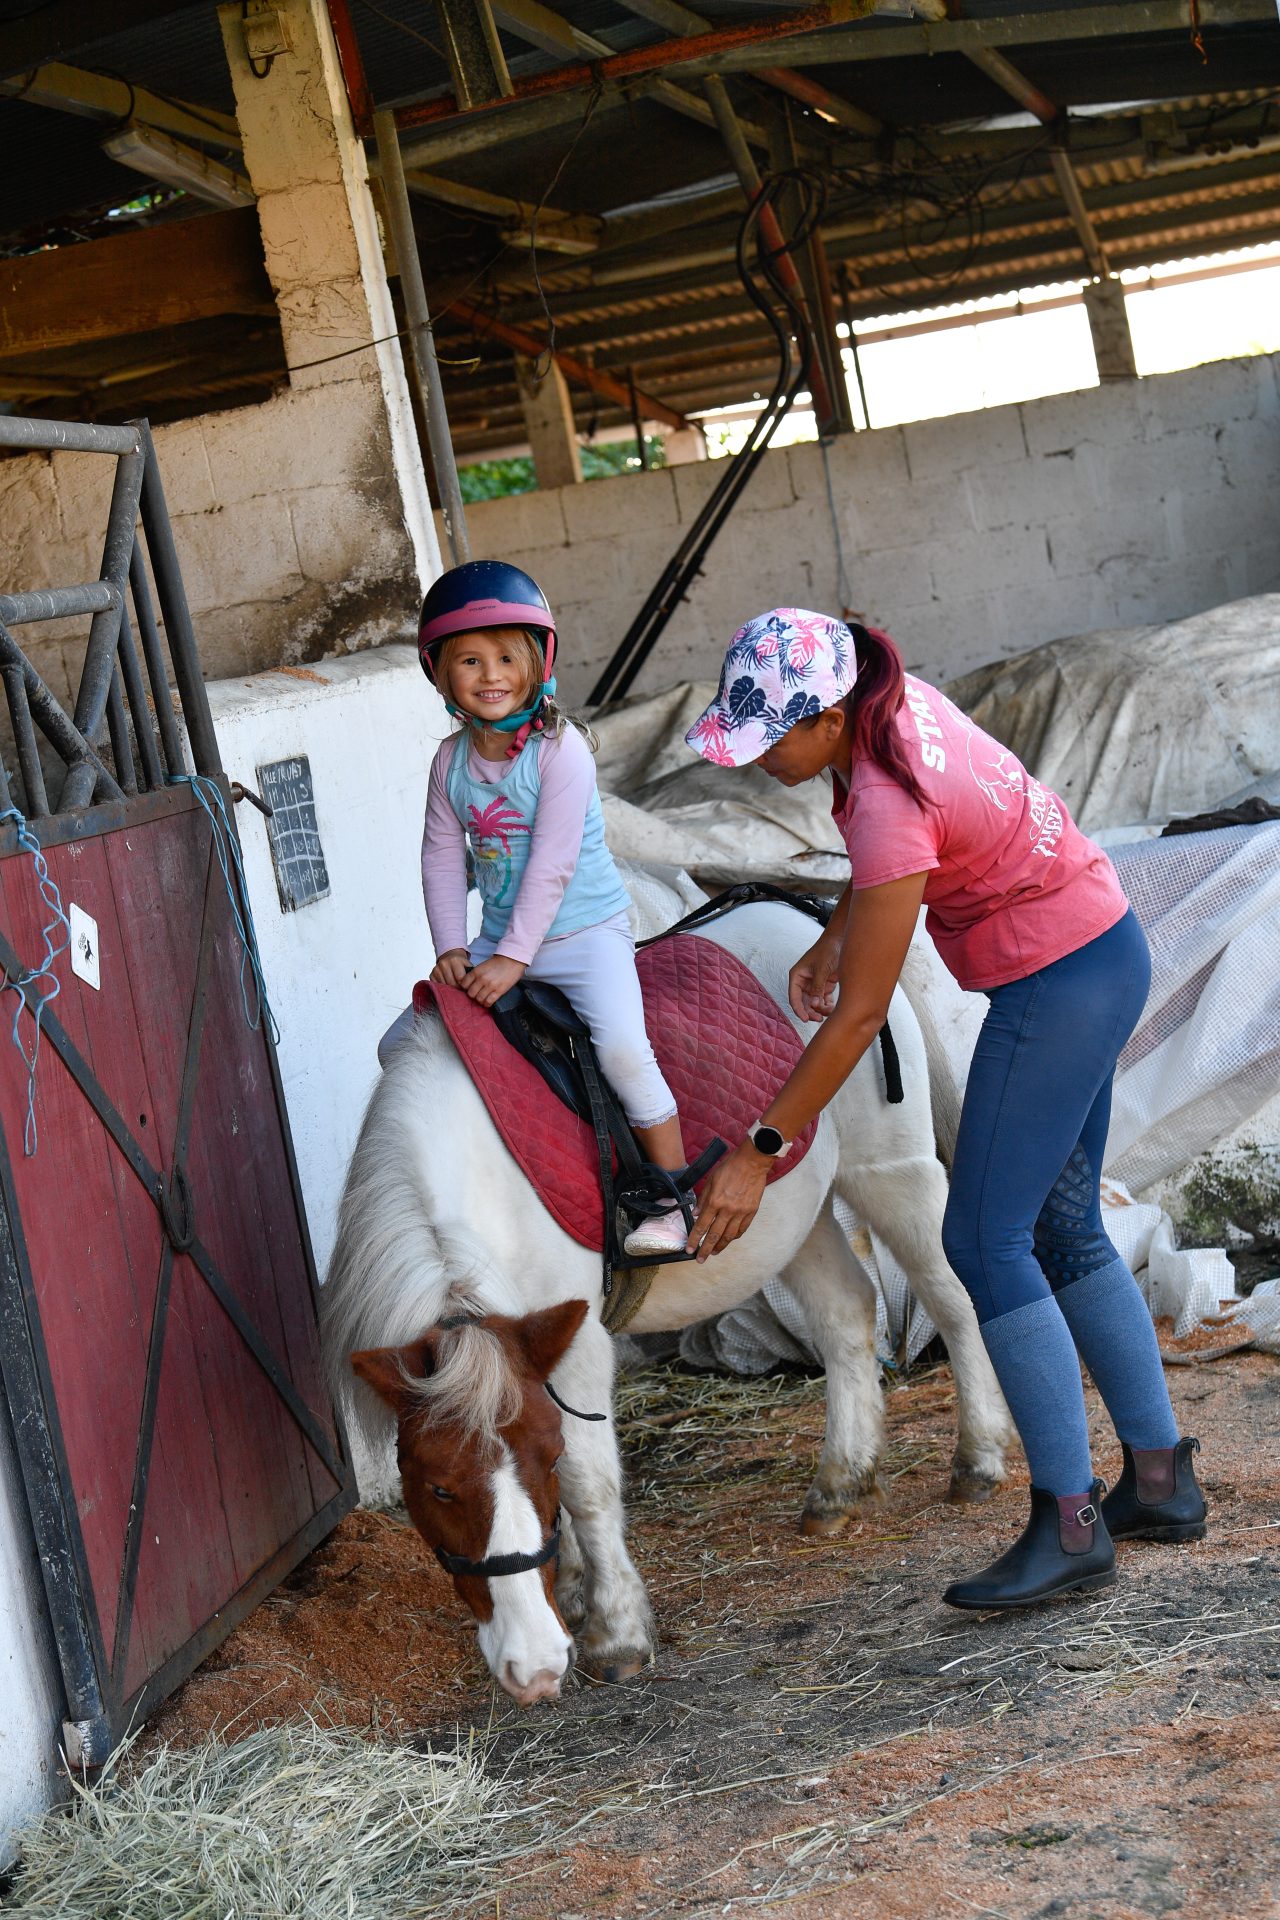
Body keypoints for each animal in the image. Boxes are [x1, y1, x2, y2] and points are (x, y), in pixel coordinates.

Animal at [322, 902, 1013, 1712]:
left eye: (540, 1460)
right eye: (437, 1485)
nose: (534, 1666)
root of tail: (805, 912)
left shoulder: (580, 1347)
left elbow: (590, 1486)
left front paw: (616, 1634)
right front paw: (575, 1594)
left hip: (892, 1174)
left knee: (956, 1299)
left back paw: (980, 1457)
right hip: (790, 1214)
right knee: (847, 1312)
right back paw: (839, 1484)